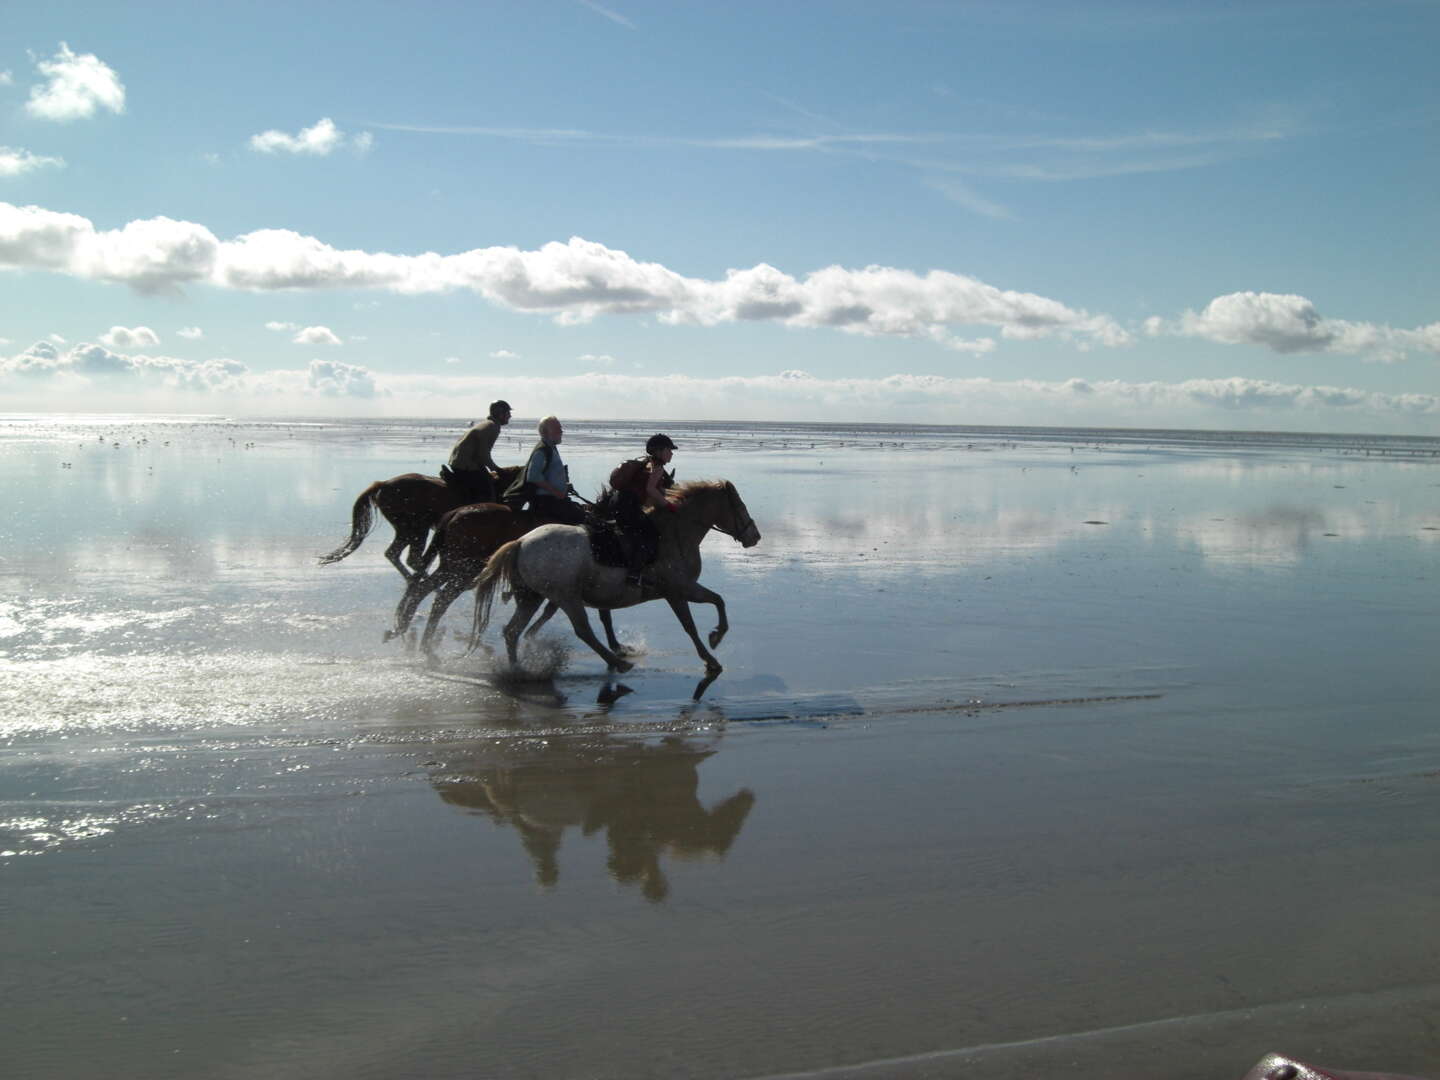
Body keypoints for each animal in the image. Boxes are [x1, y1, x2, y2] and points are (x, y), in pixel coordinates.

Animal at [388, 506, 624, 659]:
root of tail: (454, 514)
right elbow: (597, 612)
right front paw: (616, 646)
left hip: (453, 567)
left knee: (424, 589)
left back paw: (410, 633)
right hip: (462, 569)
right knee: (438, 597)